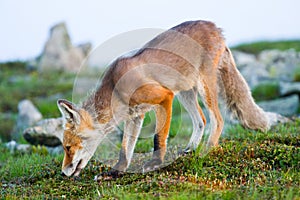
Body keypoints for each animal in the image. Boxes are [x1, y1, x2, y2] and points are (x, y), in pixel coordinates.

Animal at [56, 20, 270, 177]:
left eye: (68, 147)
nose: (63, 173)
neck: (115, 89)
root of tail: (214, 26)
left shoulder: (164, 97)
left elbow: (158, 138)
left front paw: (154, 163)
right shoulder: (136, 116)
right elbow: (125, 149)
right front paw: (116, 172)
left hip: (203, 88)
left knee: (217, 120)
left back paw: (206, 151)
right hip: (185, 92)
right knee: (201, 120)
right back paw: (191, 148)